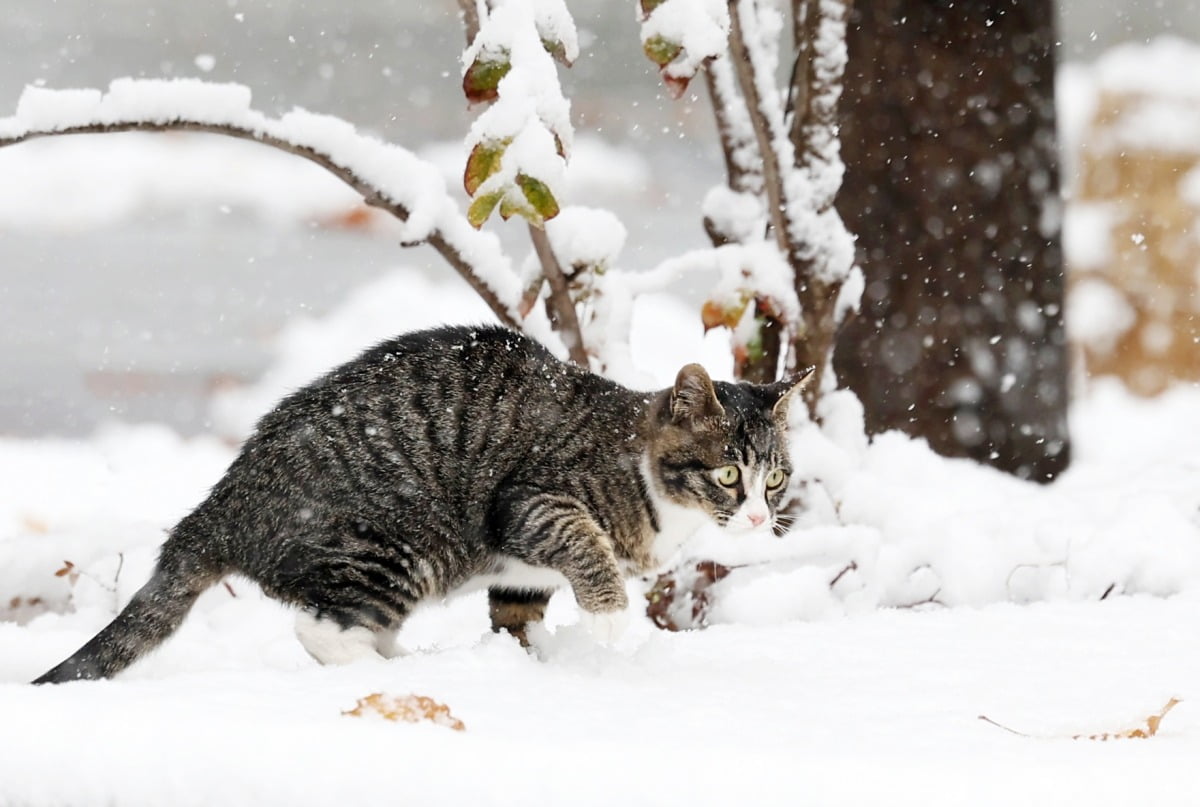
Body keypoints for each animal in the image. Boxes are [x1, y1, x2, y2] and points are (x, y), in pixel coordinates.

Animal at [32, 321, 811, 682]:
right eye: (728, 475)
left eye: (775, 479)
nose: (757, 517)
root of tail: (221, 503)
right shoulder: (534, 501)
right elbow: (589, 551)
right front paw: (615, 629)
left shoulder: (522, 572)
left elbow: (517, 618)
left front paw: (534, 661)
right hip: (391, 545)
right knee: (320, 629)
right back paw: (395, 671)